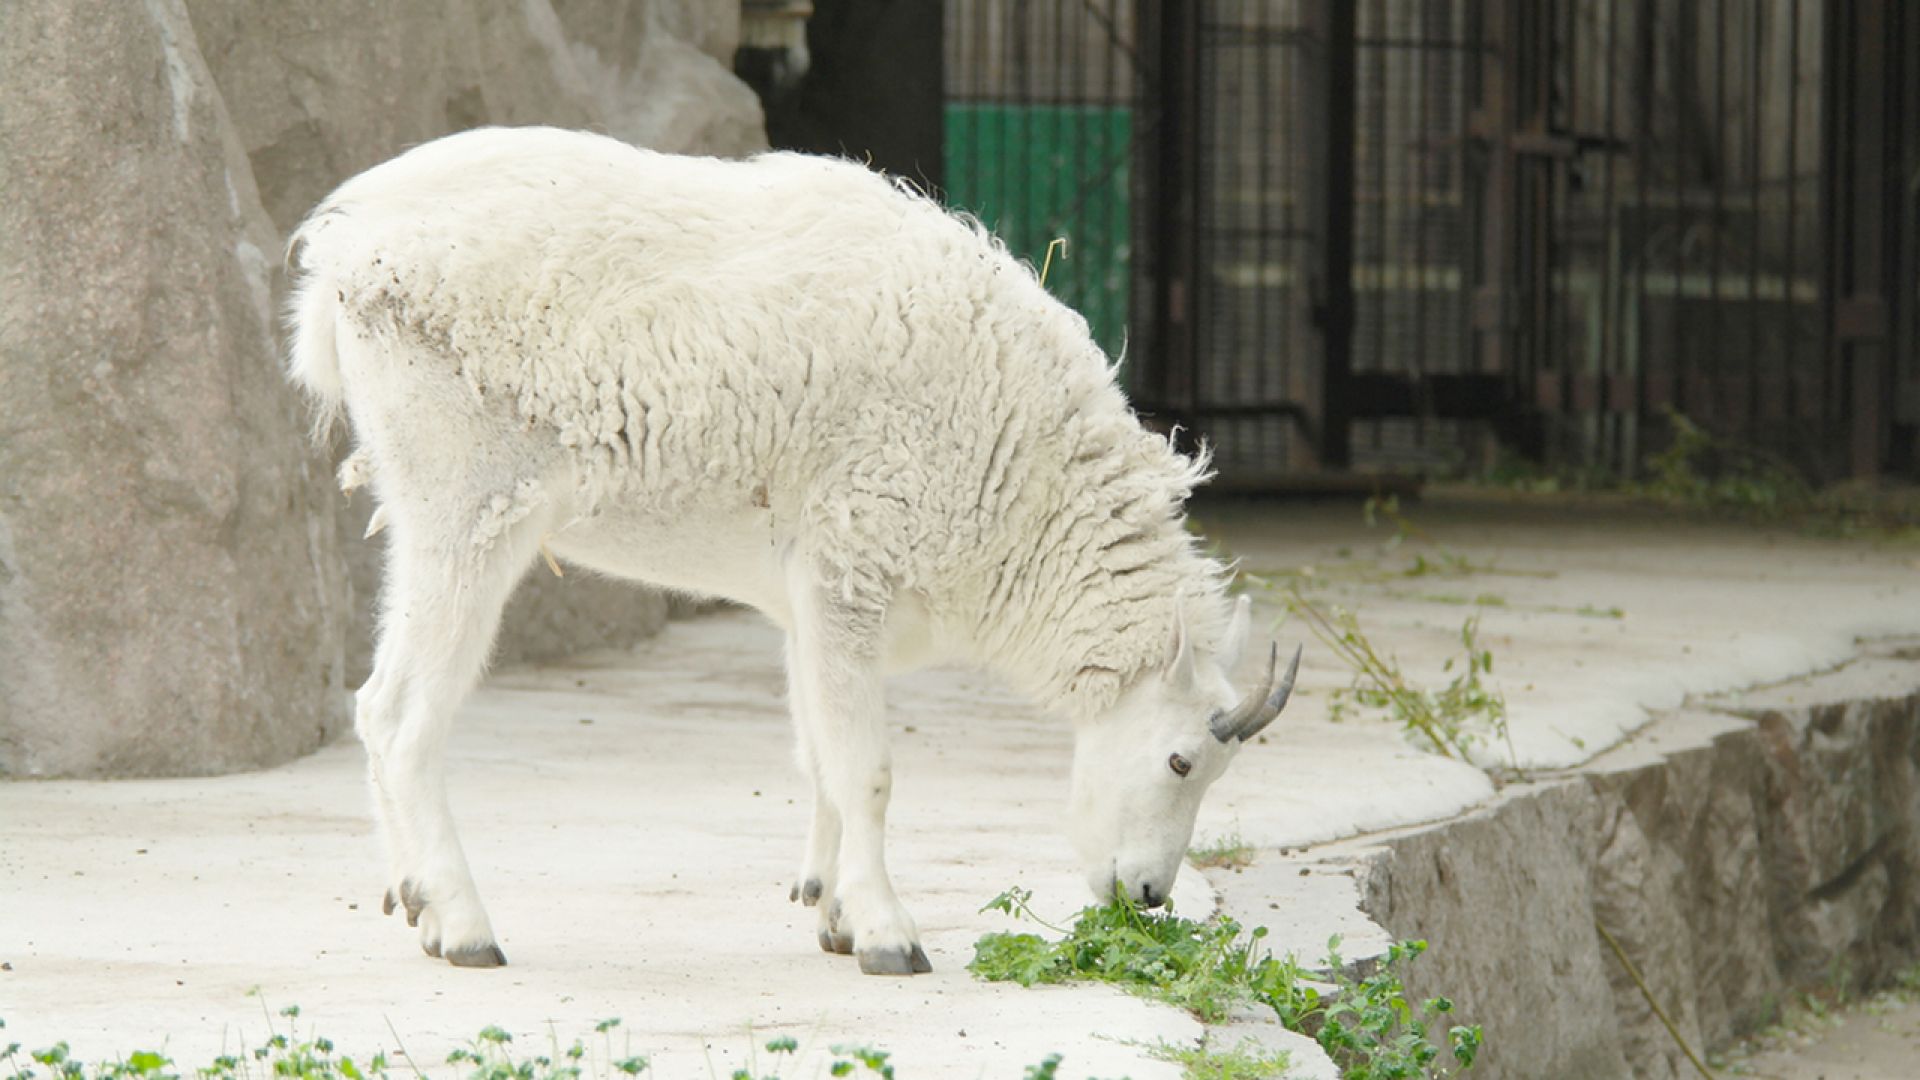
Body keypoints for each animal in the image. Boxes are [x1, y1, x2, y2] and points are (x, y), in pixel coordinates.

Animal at [288, 122, 1305, 972]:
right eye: (1181, 761)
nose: (1146, 894)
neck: (1019, 472)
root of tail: (339, 252)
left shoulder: (808, 598)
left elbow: (821, 755)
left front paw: (832, 912)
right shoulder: (852, 562)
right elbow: (869, 770)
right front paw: (891, 938)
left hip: (422, 509)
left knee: (379, 704)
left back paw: (415, 904)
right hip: (469, 503)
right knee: (401, 714)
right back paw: (464, 926)